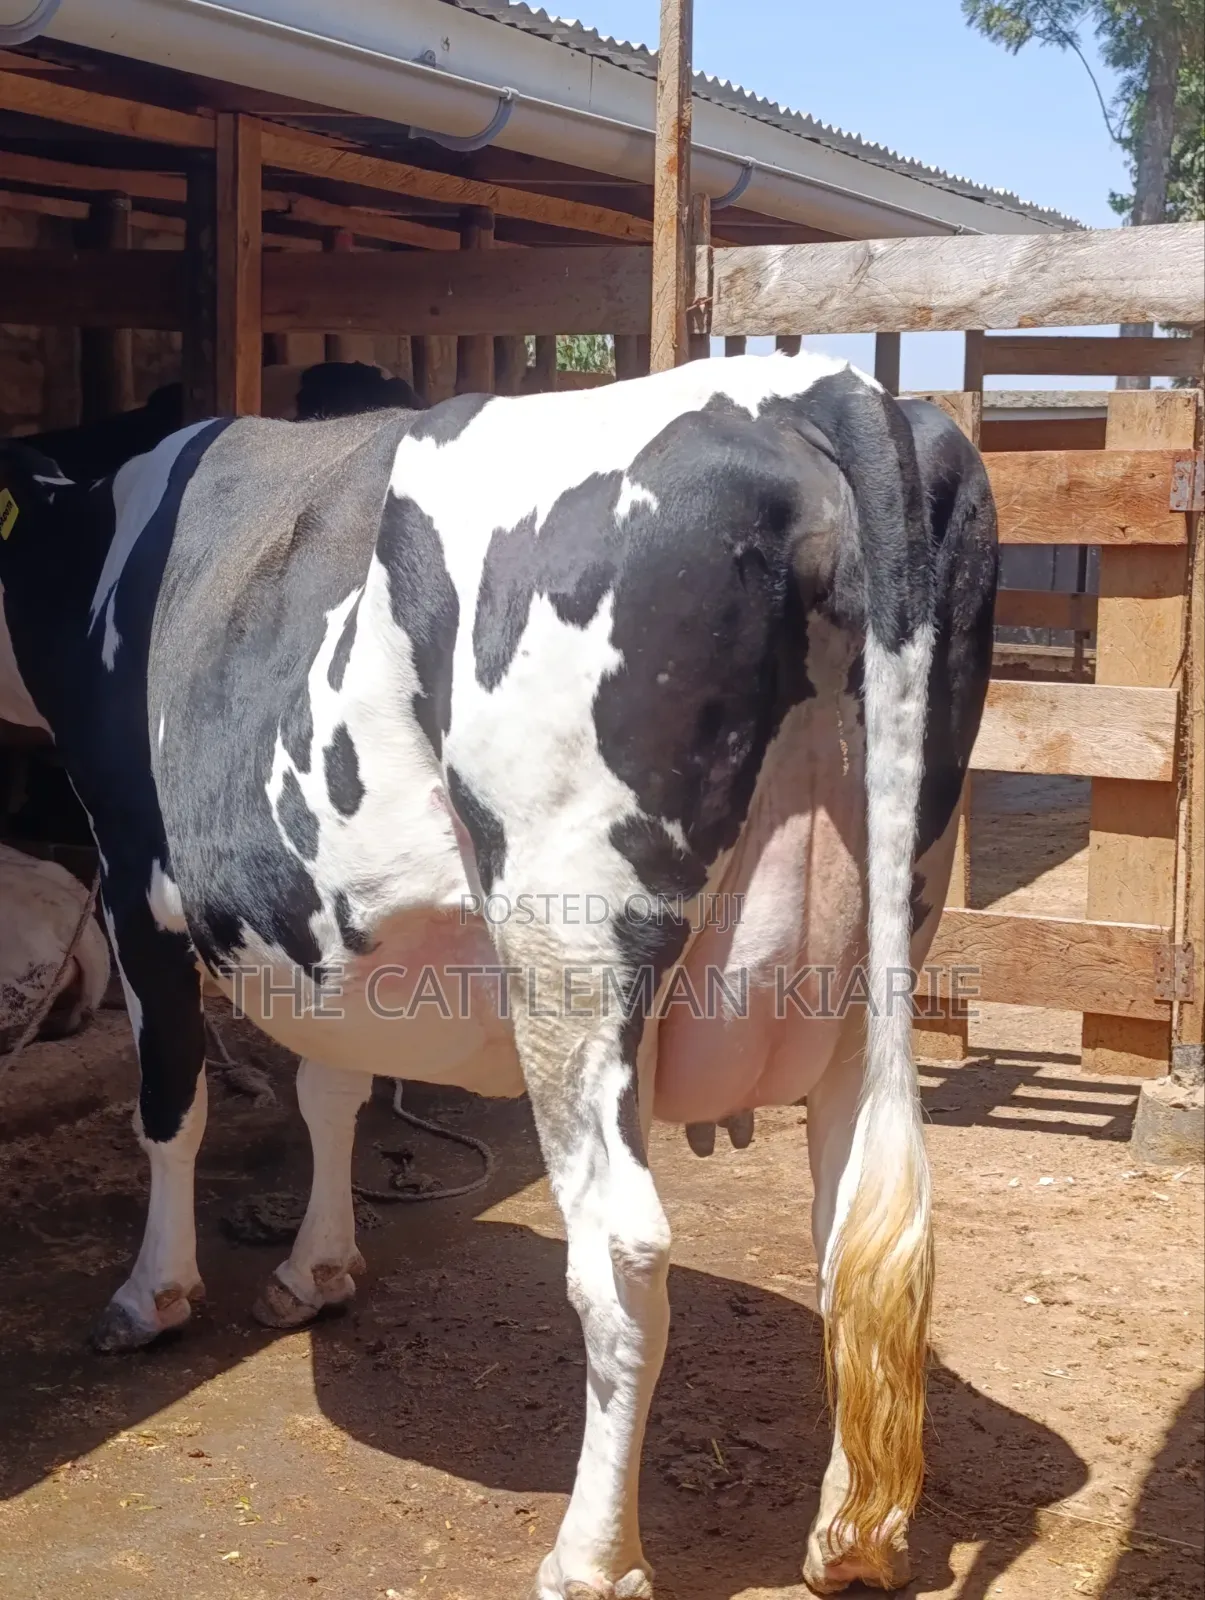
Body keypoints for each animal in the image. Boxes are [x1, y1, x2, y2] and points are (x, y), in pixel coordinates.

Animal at [0, 353, 996, 1598]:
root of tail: (814, 386)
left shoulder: (134, 872)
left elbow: (170, 1107)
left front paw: (155, 1293)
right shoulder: (334, 932)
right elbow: (332, 1086)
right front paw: (315, 1269)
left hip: (571, 951)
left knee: (623, 1251)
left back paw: (591, 1556)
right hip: (878, 952)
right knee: (854, 1228)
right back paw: (848, 1539)